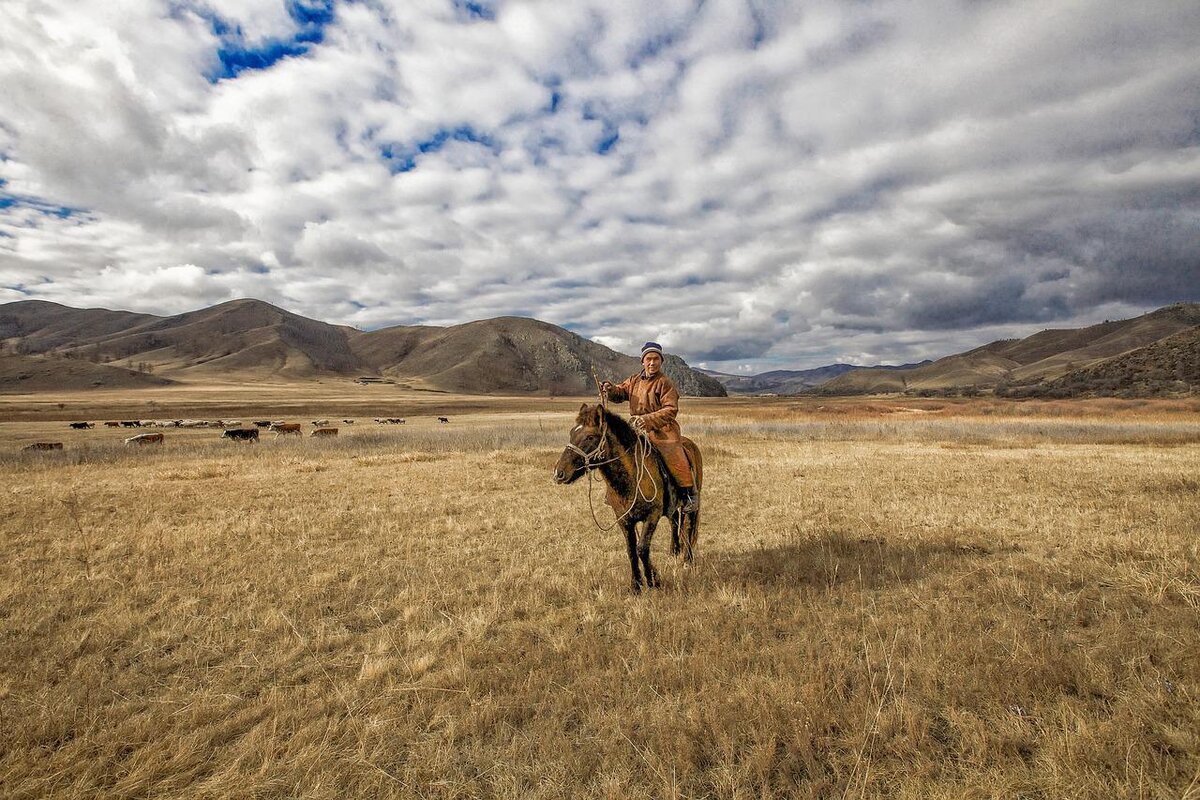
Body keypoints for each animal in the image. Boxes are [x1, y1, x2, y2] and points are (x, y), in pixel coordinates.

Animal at [554, 402, 700, 592]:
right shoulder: (623, 519)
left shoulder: (652, 515)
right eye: (572, 433)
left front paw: (653, 581)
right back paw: (673, 552)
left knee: (689, 526)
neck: (632, 476)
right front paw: (636, 585)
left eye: (590, 437)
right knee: (674, 520)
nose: (559, 473)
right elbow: (631, 550)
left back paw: (687, 560)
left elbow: (642, 548)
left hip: (692, 504)